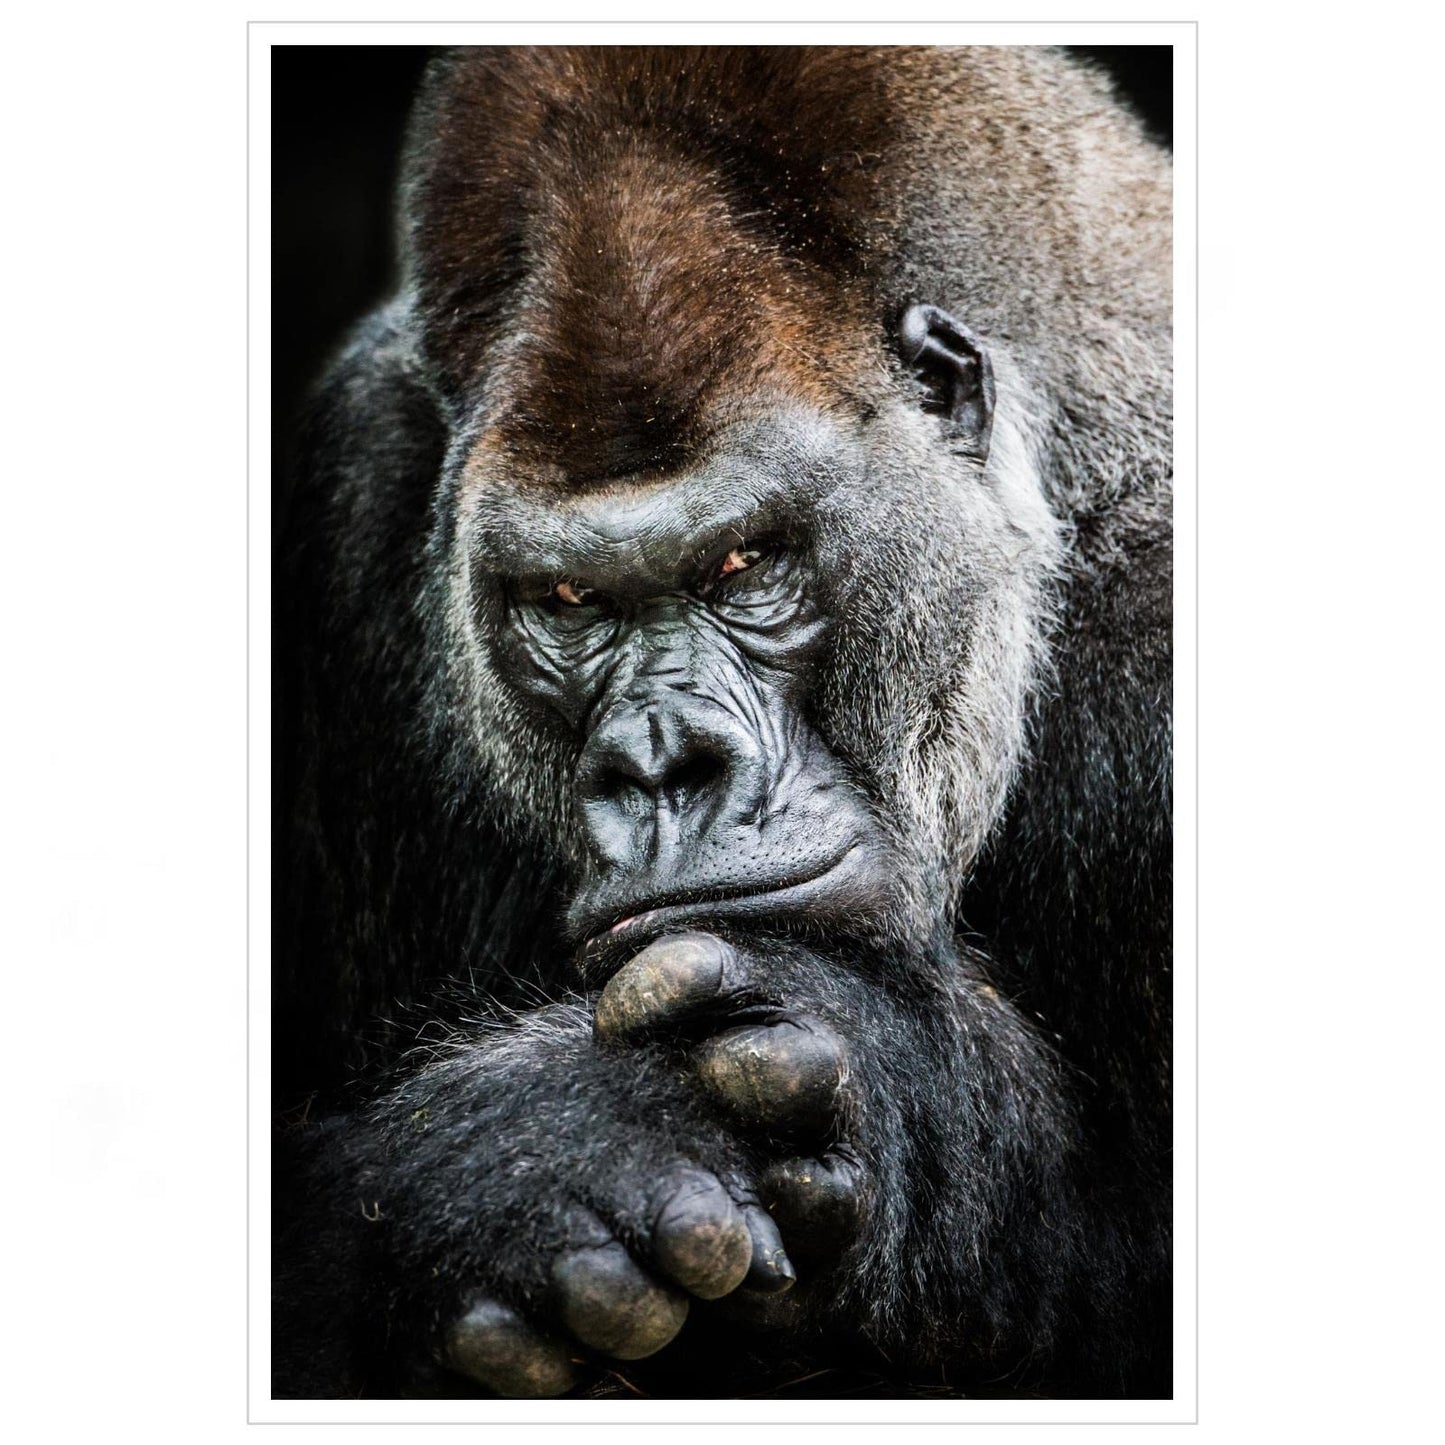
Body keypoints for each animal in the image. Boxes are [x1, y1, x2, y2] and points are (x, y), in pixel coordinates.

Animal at [272, 44, 1172, 1399]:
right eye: (566, 600)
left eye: (746, 563)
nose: (660, 764)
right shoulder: (358, 487)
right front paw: (519, 1163)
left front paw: (889, 1081)